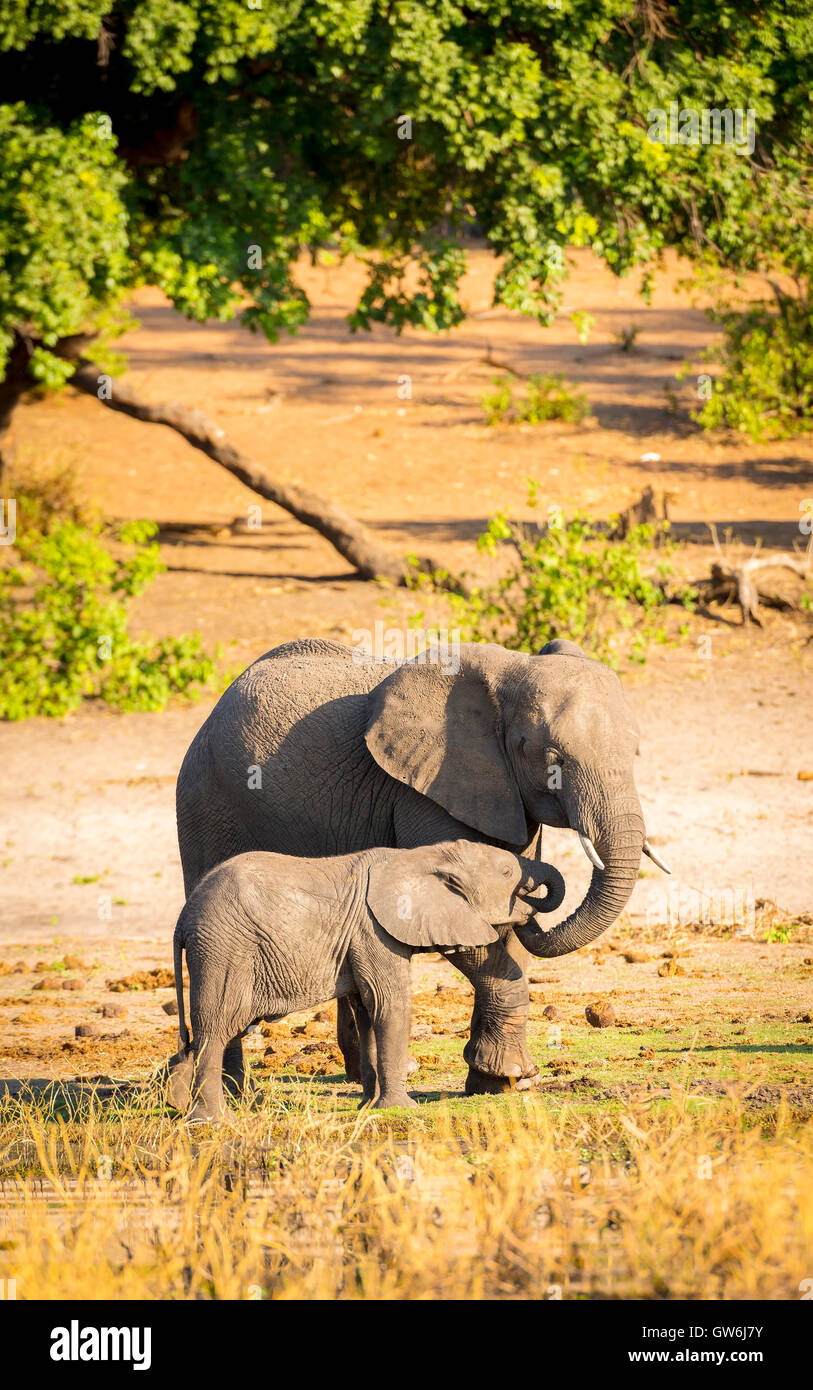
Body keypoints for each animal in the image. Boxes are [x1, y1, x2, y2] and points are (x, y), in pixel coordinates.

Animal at [166, 834, 564, 1117]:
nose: (528, 909)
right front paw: (402, 1109)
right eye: (507, 873)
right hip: (223, 950)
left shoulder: (360, 938)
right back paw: (215, 1121)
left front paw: (369, 1108)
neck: (422, 857)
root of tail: (182, 919)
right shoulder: (373, 931)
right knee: (216, 1028)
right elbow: (390, 1005)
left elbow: (367, 1012)